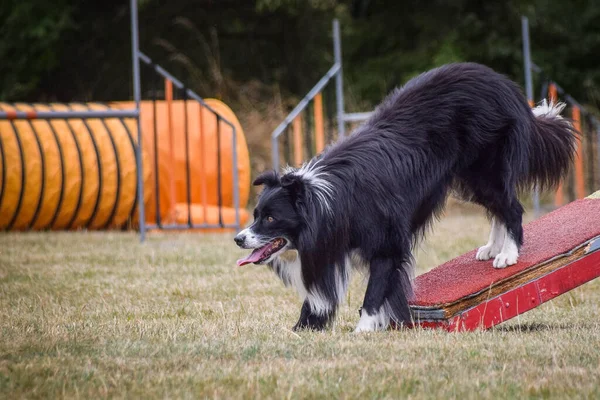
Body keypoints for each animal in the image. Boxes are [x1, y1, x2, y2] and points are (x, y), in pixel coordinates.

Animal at [234, 61, 576, 332]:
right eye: (255, 215)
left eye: (270, 218)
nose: (238, 238)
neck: (325, 202)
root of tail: (503, 84)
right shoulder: (331, 244)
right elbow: (317, 296)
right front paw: (301, 328)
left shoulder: (386, 242)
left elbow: (375, 290)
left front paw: (363, 329)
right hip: (466, 178)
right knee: (497, 207)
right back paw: (492, 248)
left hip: (484, 168)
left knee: (511, 206)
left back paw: (508, 254)